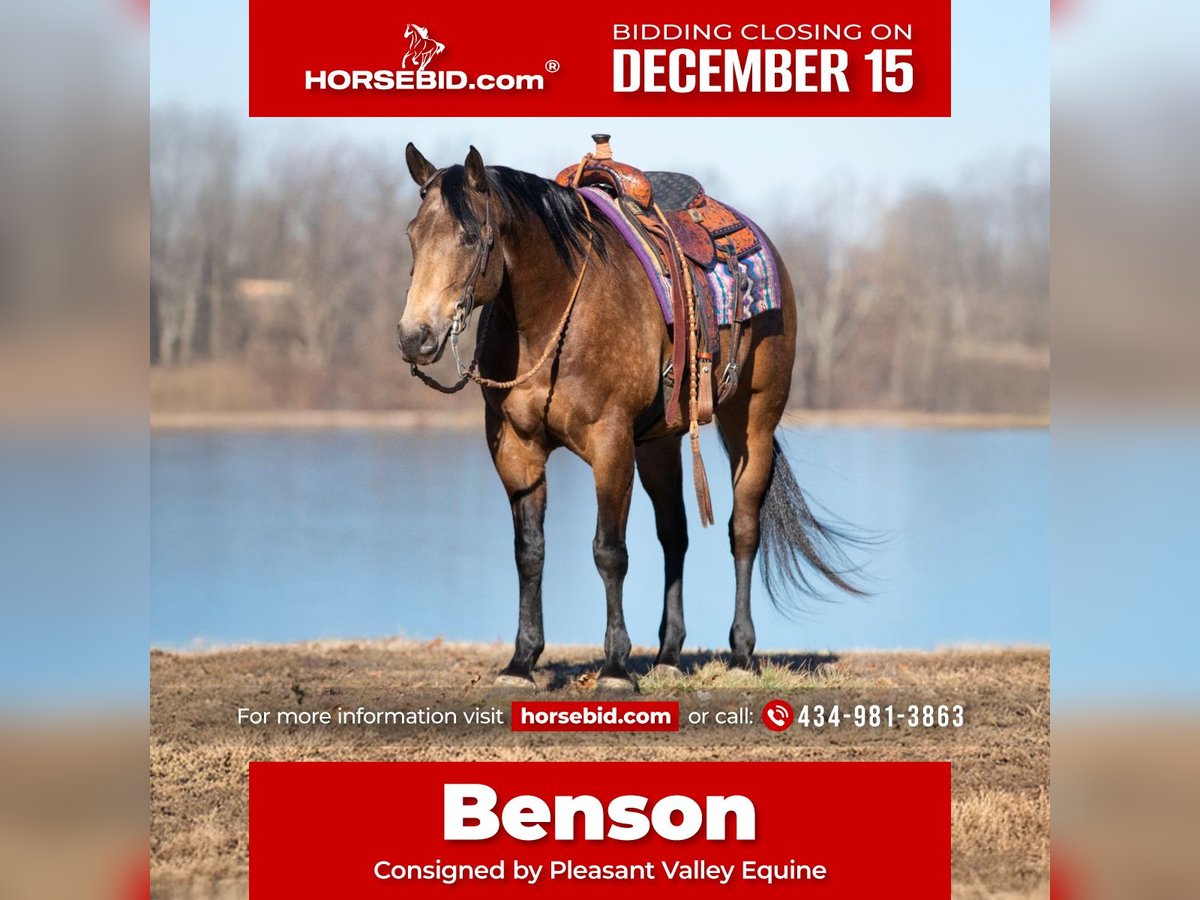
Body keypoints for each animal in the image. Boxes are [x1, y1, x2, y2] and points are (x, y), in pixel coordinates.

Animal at [398, 144, 861, 690]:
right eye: (412, 234)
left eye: (470, 237)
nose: (415, 337)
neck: (554, 315)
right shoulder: (515, 447)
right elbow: (529, 551)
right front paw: (521, 661)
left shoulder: (610, 443)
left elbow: (609, 553)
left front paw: (616, 667)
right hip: (659, 442)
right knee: (675, 534)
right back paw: (668, 653)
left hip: (752, 425)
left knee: (744, 530)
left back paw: (742, 652)